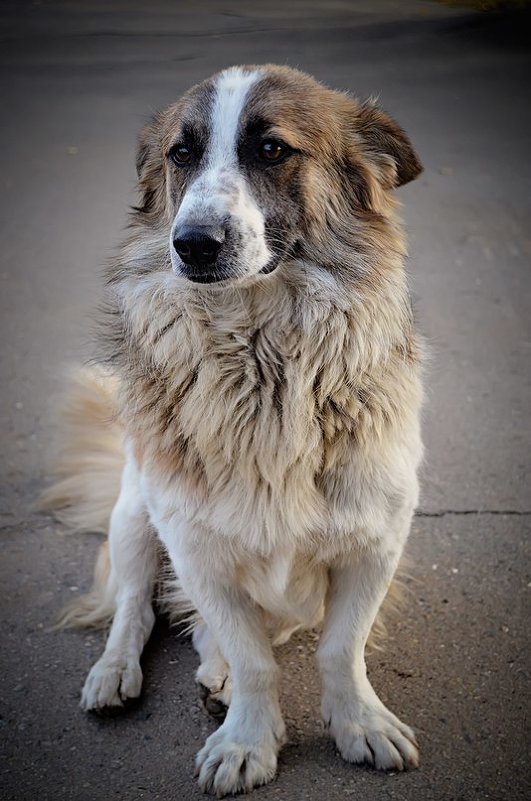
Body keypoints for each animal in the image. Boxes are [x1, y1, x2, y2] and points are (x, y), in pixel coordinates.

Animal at [44, 65, 424, 796]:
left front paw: (358, 721)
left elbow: (340, 648)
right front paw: (248, 738)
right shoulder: (194, 544)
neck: (261, 362)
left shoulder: (375, 538)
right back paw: (116, 671)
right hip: (135, 515)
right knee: (135, 607)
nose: (191, 244)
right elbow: (252, 661)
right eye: (181, 154)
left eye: (271, 149)